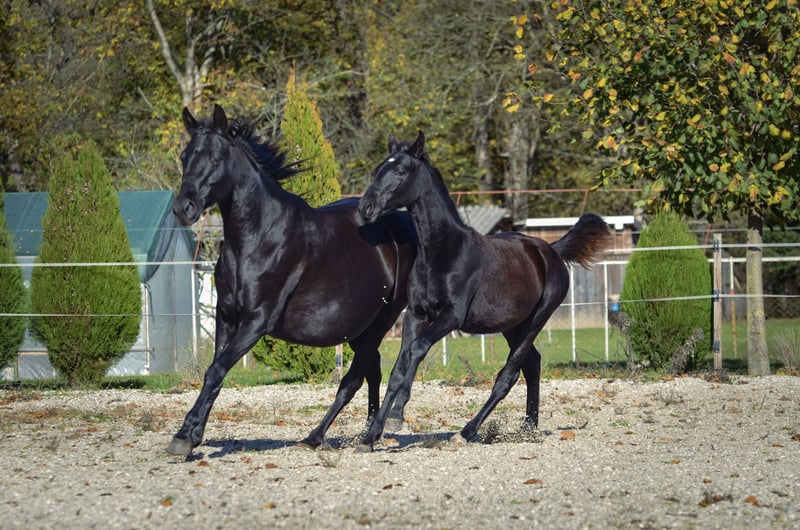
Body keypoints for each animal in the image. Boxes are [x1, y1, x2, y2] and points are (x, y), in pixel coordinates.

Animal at [167, 104, 416, 456]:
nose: (183, 209)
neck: (256, 237)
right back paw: (365, 432)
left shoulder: (256, 322)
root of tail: (401, 220)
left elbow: (216, 370)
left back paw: (322, 436)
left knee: (353, 378)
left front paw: (184, 436)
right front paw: (191, 434)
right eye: (184, 156)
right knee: (373, 369)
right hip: (358, 326)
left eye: (216, 159)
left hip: (384, 318)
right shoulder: (226, 317)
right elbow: (214, 372)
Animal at [356, 131, 613, 451]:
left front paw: (397, 414)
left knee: (509, 375)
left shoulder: (451, 317)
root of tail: (551, 251)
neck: (442, 252)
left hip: (536, 320)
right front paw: (372, 435)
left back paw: (467, 431)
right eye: (380, 168)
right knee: (532, 364)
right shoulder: (415, 315)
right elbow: (399, 366)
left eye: (401, 171)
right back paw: (528, 427)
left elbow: (417, 350)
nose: (365, 208)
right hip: (513, 325)